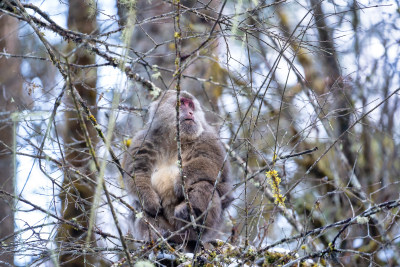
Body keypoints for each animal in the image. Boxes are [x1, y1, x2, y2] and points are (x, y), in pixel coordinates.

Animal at [123, 90, 233, 249]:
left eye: (191, 105)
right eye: (181, 103)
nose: (190, 112)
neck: (173, 141)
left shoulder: (209, 138)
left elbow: (217, 171)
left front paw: (180, 182)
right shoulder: (142, 140)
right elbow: (137, 172)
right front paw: (150, 200)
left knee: (205, 185)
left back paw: (190, 213)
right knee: (137, 206)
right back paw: (155, 237)